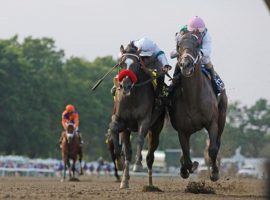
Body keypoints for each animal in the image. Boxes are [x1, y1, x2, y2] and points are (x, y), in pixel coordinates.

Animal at [107, 43, 165, 189]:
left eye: (136, 65)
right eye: (121, 63)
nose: (125, 85)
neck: (131, 98)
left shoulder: (144, 120)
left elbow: (139, 138)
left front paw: (138, 165)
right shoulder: (121, 121)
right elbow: (114, 130)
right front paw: (119, 162)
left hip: (155, 129)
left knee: (150, 156)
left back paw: (150, 185)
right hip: (127, 130)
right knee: (128, 152)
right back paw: (124, 181)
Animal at [169, 32, 228, 181]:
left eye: (196, 45)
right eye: (179, 46)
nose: (185, 65)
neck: (193, 97)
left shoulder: (212, 122)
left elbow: (212, 149)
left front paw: (214, 173)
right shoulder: (182, 130)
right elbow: (186, 154)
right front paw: (187, 169)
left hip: (222, 117)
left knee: (218, 142)